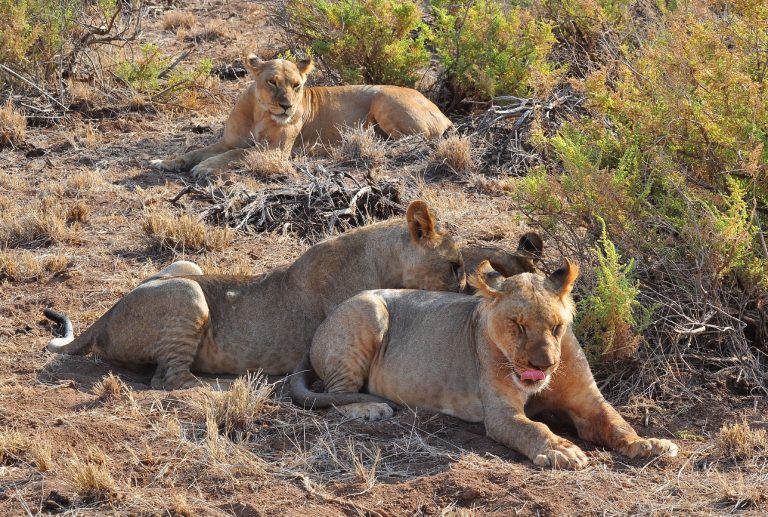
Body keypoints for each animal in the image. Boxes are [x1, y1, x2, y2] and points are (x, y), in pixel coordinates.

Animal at [43, 201, 465, 390]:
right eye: (455, 267)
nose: (466, 291)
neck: (380, 259)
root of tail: (105, 316)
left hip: (186, 266)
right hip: (188, 293)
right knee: (167, 379)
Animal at [151, 56, 453, 179]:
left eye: (296, 85)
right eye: (272, 82)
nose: (286, 107)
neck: (261, 113)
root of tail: (442, 112)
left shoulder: (276, 151)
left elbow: (236, 155)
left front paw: (205, 168)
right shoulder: (228, 141)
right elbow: (194, 151)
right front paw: (164, 162)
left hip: (383, 100)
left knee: (415, 140)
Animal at [291, 260, 678, 469]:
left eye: (556, 327)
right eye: (517, 325)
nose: (544, 365)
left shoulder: (588, 402)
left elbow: (616, 422)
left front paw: (651, 444)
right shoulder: (501, 412)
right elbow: (533, 428)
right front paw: (561, 450)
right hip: (369, 311)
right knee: (335, 394)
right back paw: (369, 409)